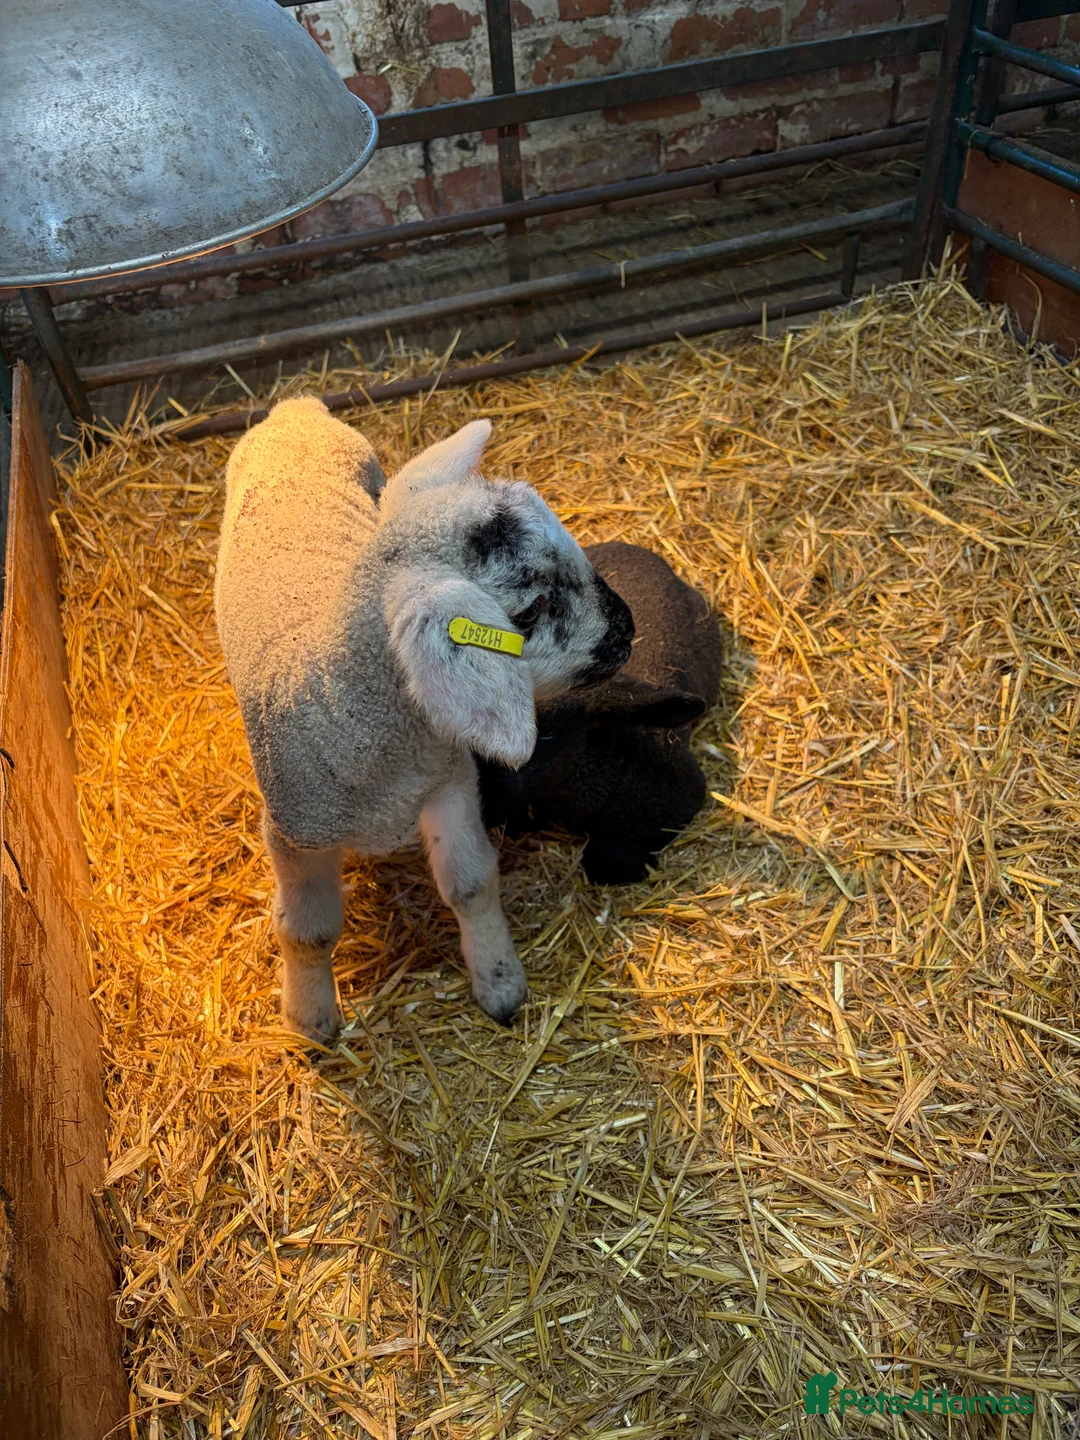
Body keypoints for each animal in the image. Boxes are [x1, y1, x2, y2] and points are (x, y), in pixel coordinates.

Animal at [214, 396, 634, 1042]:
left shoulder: (450, 781)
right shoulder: (294, 834)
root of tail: (296, 407)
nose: (628, 629)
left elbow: (471, 882)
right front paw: (311, 1020)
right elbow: (306, 931)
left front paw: (500, 983)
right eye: (530, 610)